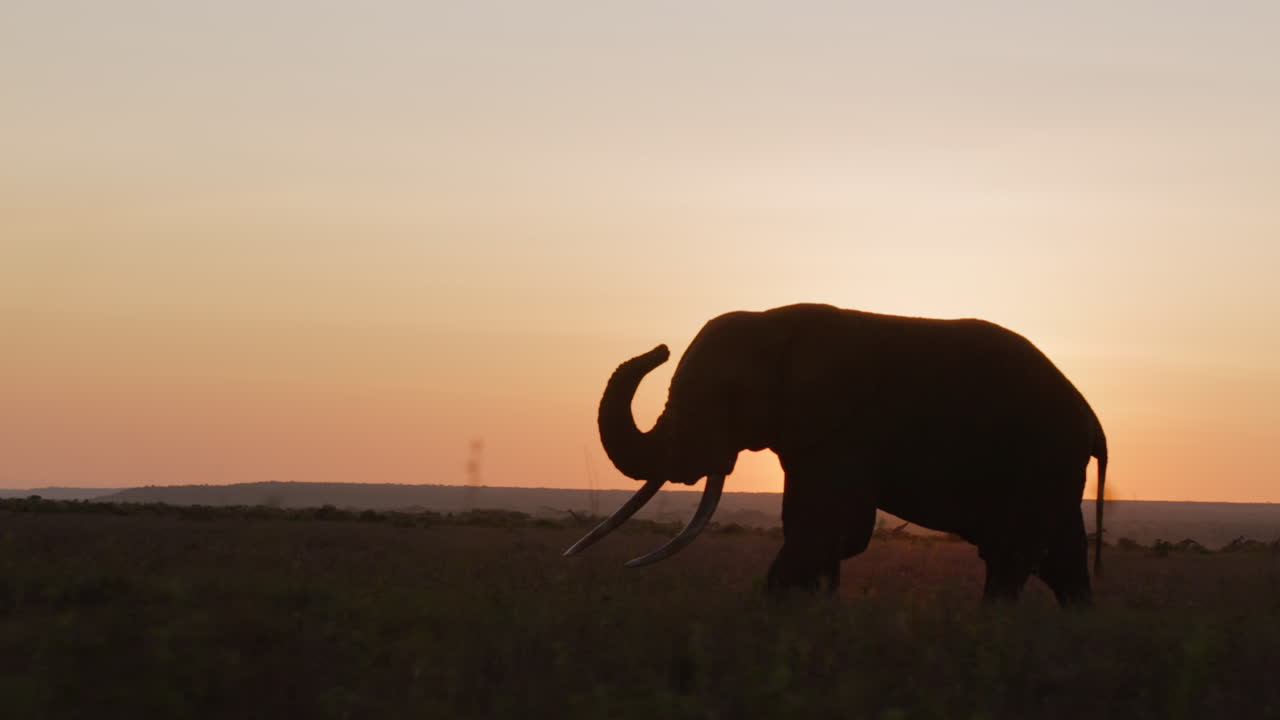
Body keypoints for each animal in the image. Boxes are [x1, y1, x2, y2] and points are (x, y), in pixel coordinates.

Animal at [564, 303, 1108, 606]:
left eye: (720, 396)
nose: (659, 349)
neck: (775, 327)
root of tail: (1092, 419)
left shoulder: (844, 428)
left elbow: (830, 528)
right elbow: (819, 530)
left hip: (1042, 458)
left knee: (1014, 554)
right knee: (1059, 561)